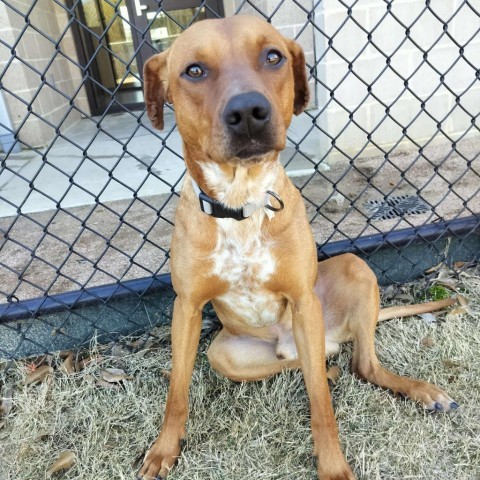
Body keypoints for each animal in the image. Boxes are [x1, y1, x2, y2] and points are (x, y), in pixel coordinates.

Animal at [138, 15, 458, 480]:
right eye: (194, 70)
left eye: (273, 56)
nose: (248, 113)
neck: (243, 200)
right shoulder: (187, 308)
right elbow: (177, 391)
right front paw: (164, 449)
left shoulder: (305, 302)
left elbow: (320, 403)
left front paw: (333, 467)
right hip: (224, 355)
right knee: (317, 363)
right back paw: (330, 365)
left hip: (352, 271)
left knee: (359, 364)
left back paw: (415, 389)